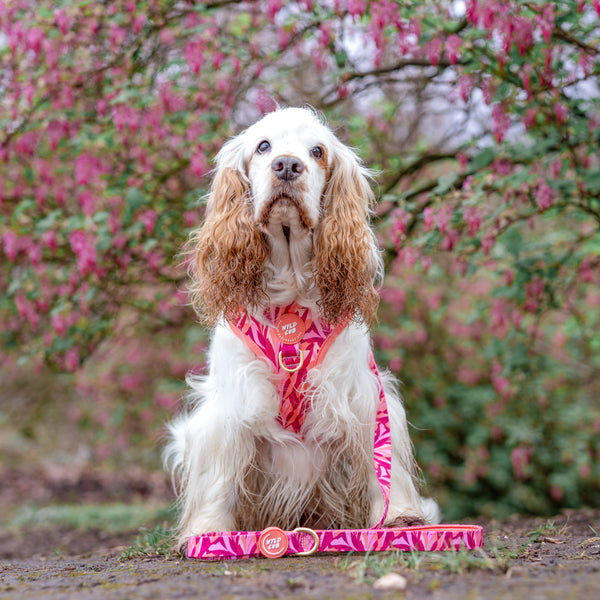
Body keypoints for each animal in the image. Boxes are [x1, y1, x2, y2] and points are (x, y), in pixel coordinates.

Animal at [166, 106, 438, 548]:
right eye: (263, 146)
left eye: (317, 151)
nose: (288, 166)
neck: (290, 292)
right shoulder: (232, 404)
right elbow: (220, 476)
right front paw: (209, 530)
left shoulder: (362, 397)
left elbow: (383, 465)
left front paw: (399, 516)